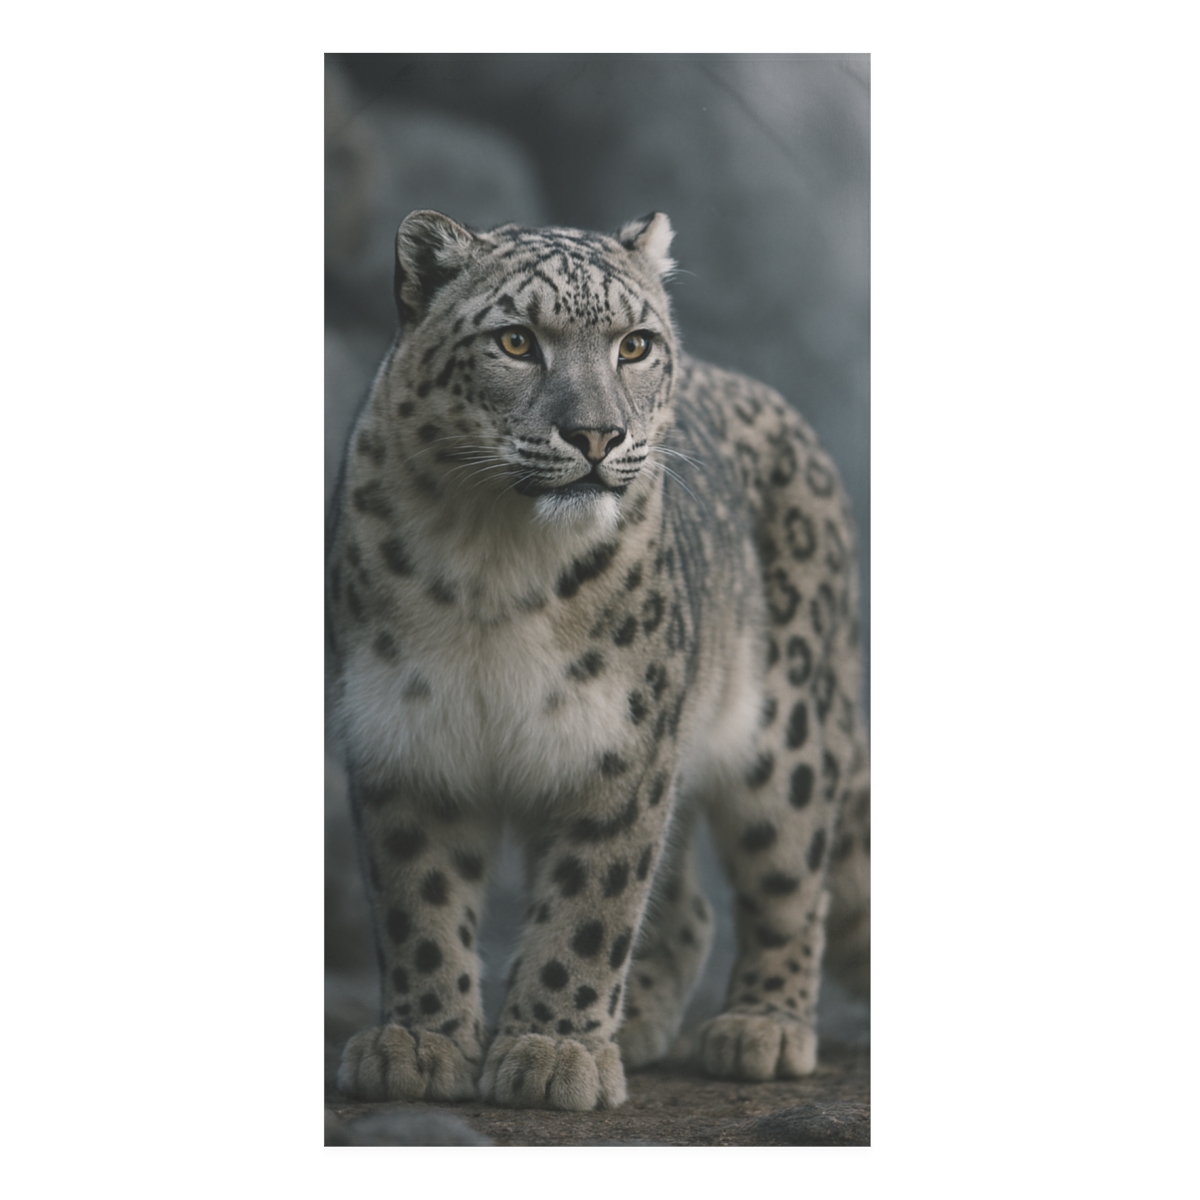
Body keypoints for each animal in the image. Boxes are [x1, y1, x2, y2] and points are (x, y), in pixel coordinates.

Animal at [325, 208, 870, 1112]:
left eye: (636, 344)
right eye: (515, 340)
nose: (595, 434)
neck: (493, 561)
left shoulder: (621, 742)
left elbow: (593, 903)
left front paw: (552, 1050)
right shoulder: (405, 730)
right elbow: (419, 899)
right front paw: (421, 1042)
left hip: (790, 734)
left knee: (792, 880)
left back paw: (760, 1027)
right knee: (688, 910)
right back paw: (641, 1025)